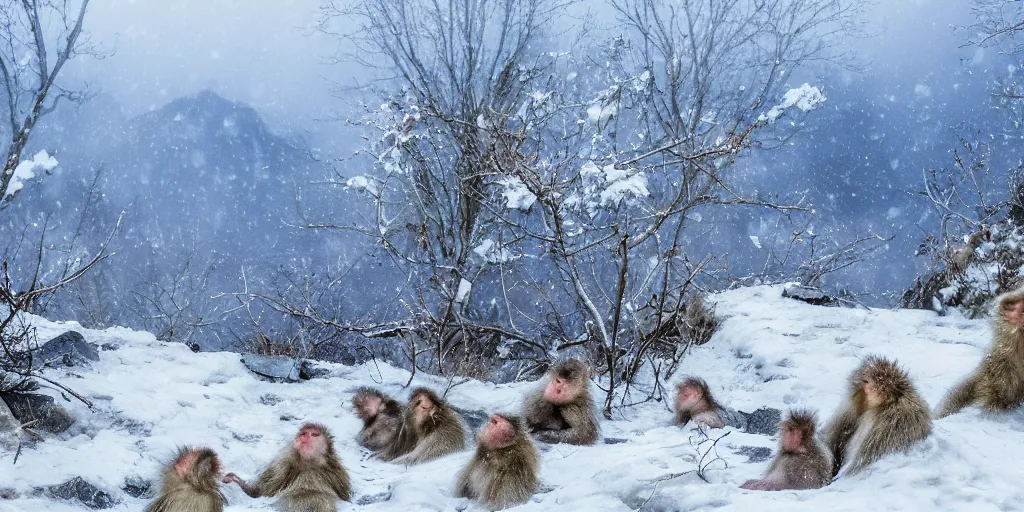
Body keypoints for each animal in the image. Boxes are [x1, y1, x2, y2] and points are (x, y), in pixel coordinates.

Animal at [221, 423, 352, 512]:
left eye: (314, 434)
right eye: (304, 433)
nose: (305, 437)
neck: (308, 463)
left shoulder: (337, 473)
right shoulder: (281, 467)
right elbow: (261, 492)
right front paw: (236, 480)